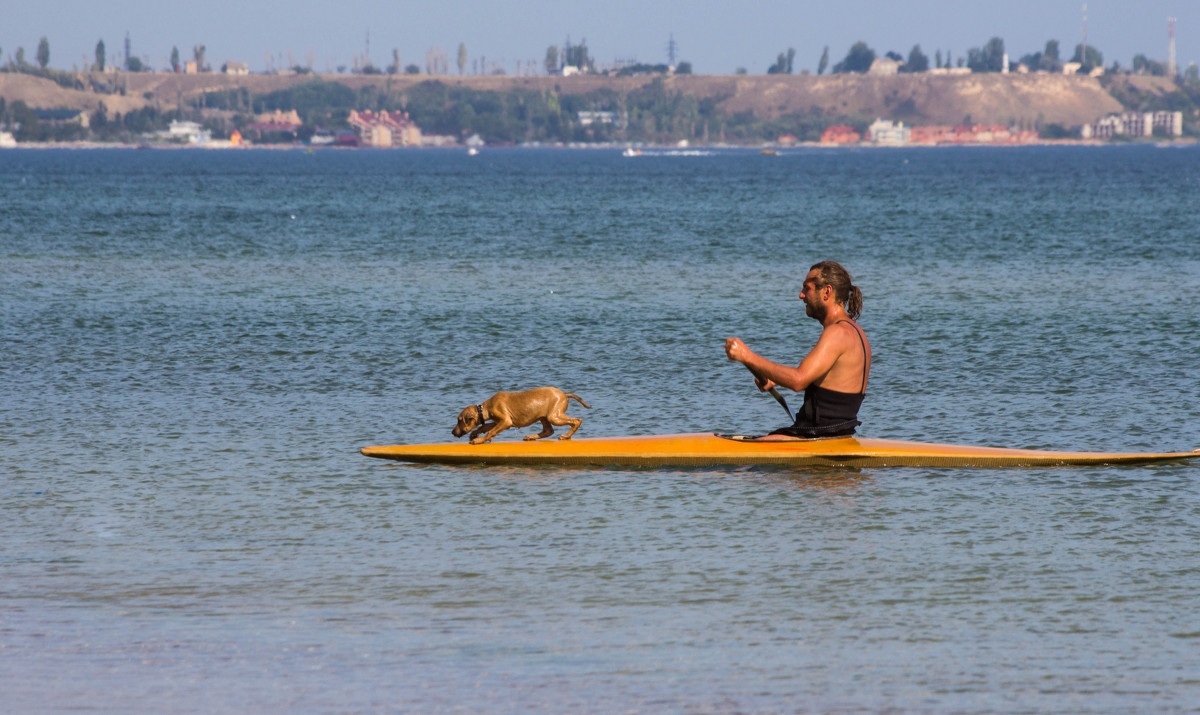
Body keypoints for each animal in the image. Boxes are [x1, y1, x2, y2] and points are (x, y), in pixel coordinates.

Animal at [451, 388, 590, 443]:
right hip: (544, 417)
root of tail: (564, 394)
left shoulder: (506, 421)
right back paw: (531, 436)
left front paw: (478, 440)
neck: (485, 408)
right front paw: (474, 434)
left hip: (553, 416)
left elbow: (491, 432)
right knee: (548, 430)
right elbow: (485, 427)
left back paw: (566, 436)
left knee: (577, 420)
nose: (452, 432)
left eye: (459, 420)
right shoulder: (497, 421)